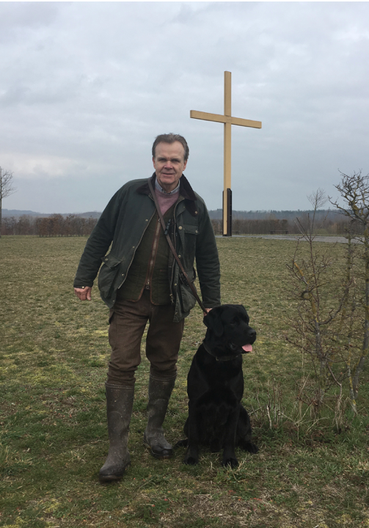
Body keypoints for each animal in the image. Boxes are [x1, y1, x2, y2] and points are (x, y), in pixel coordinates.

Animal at [180, 304, 258, 468]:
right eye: (233, 322)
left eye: (246, 320)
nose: (253, 333)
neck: (221, 361)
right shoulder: (194, 403)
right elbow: (194, 435)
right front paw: (191, 456)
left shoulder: (235, 405)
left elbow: (230, 437)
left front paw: (229, 459)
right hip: (187, 421)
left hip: (243, 415)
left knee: (243, 437)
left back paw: (250, 445)